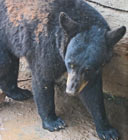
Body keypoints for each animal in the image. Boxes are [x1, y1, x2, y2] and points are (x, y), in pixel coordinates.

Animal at [0, 0, 126, 140]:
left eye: (88, 69)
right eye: (70, 64)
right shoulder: (46, 45)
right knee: (6, 63)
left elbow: (92, 92)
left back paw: (18, 92)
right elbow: (43, 78)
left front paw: (107, 130)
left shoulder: (93, 71)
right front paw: (53, 122)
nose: (71, 90)